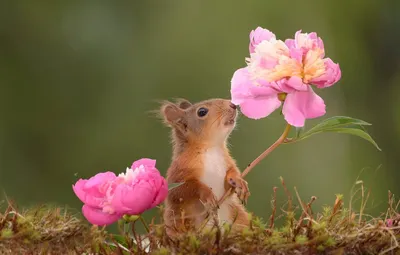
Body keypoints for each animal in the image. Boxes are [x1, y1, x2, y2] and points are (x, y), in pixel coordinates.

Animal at [160, 97, 250, 235]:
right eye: (202, 112)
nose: (233, 105)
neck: (210, 147)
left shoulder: (227, 161)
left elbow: (232, 172)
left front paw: (239, 181)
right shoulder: (178, 170)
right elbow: (181, 190)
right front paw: (207, 194)